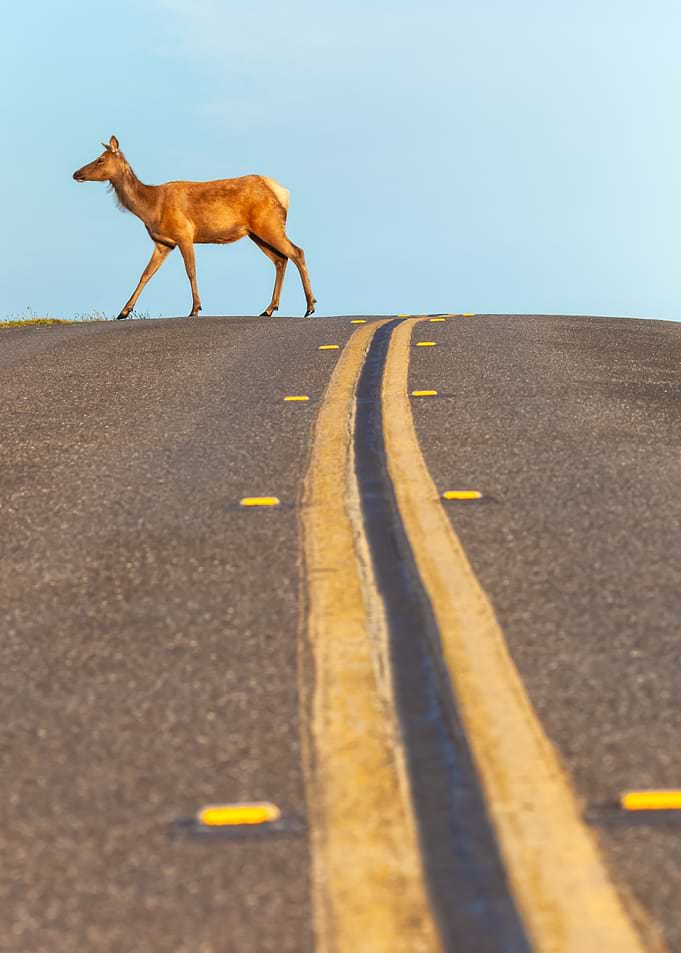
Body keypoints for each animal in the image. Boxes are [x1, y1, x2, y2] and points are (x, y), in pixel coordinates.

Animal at [73, 136, 317, 320]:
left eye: (100, 159)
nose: (76, 173)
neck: (151, 207)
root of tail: (283, 193)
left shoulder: (184, 234)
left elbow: (190, 270)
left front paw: (195, 309)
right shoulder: (162, 243)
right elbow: (145, 274)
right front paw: (123, 311)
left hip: (269, 224)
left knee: (297, 252)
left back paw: (310, 305)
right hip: (255, 232)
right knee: (280, 259)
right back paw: (269, 308)